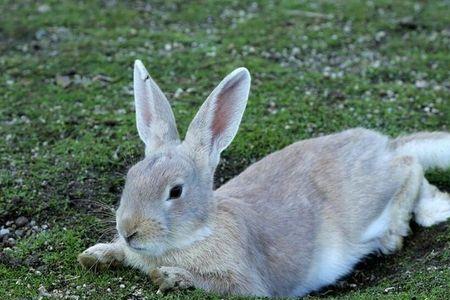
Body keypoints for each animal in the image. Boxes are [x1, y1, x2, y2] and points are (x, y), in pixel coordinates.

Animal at [77, 59, 450, 296]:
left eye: (176, 191)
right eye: (130, 178)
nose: (129, 230)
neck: (198, 233)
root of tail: (384, 146)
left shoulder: (248, 283)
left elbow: (221, 286)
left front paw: (171, 277)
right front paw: (95, 254)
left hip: (369, 197)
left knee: (409, 166)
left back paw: (418, 218)